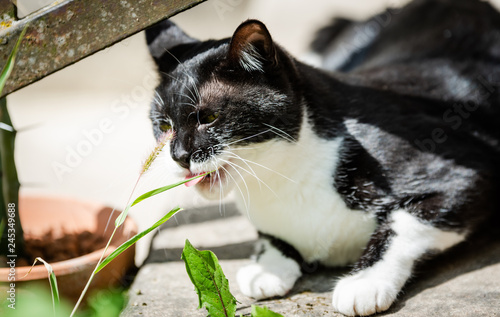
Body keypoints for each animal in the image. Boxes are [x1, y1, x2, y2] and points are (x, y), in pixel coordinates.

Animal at [145, 0, 500, 314]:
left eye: (209, 117)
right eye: (163, 125)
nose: (179, 156)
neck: (284, 177)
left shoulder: (466, 171)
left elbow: (406, 222)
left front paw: (364, 281)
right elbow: (271, 236)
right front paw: (267, 267)